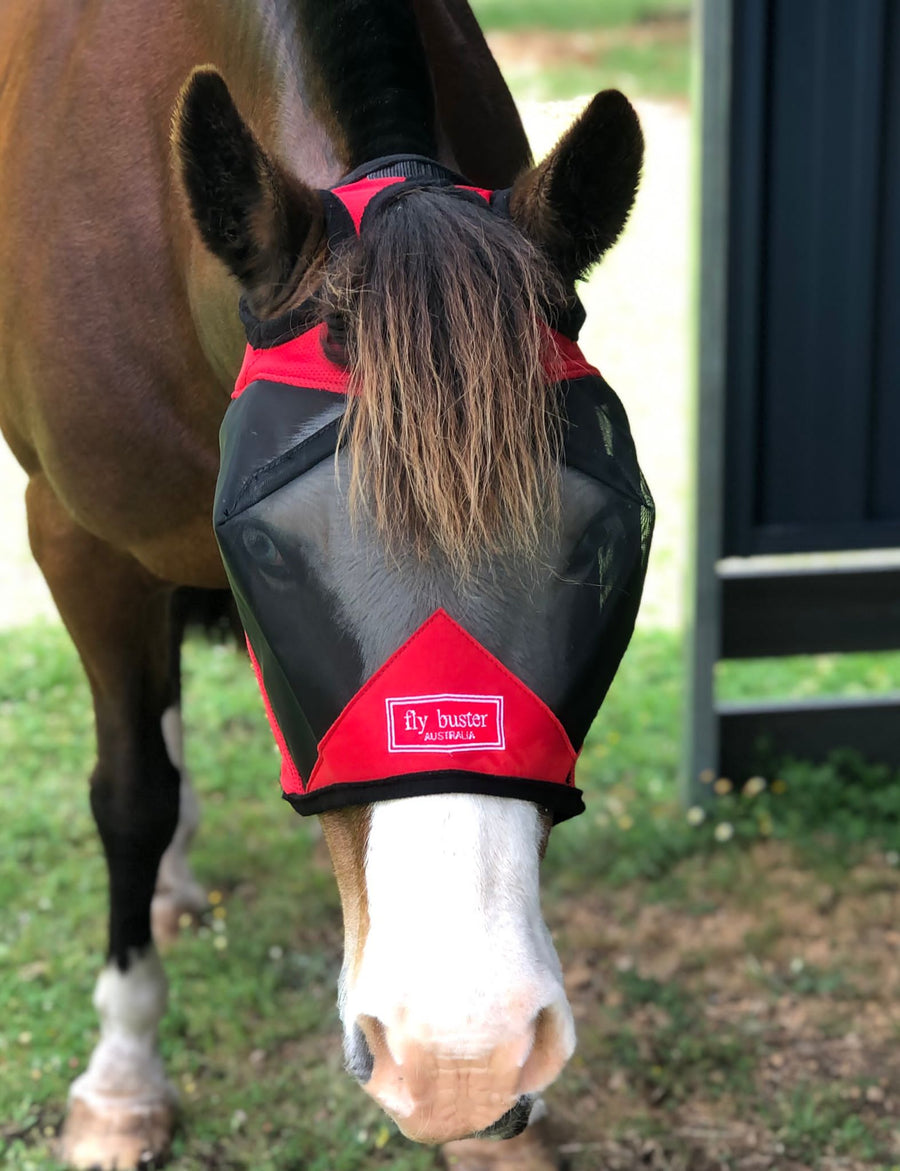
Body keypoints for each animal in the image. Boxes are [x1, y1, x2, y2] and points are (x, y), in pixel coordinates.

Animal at [0, 2, 646, 1171]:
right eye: (271, 553)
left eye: (602, 546)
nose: (463, 1054)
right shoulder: (74, 541)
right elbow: (131, 794)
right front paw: (122, 1072)